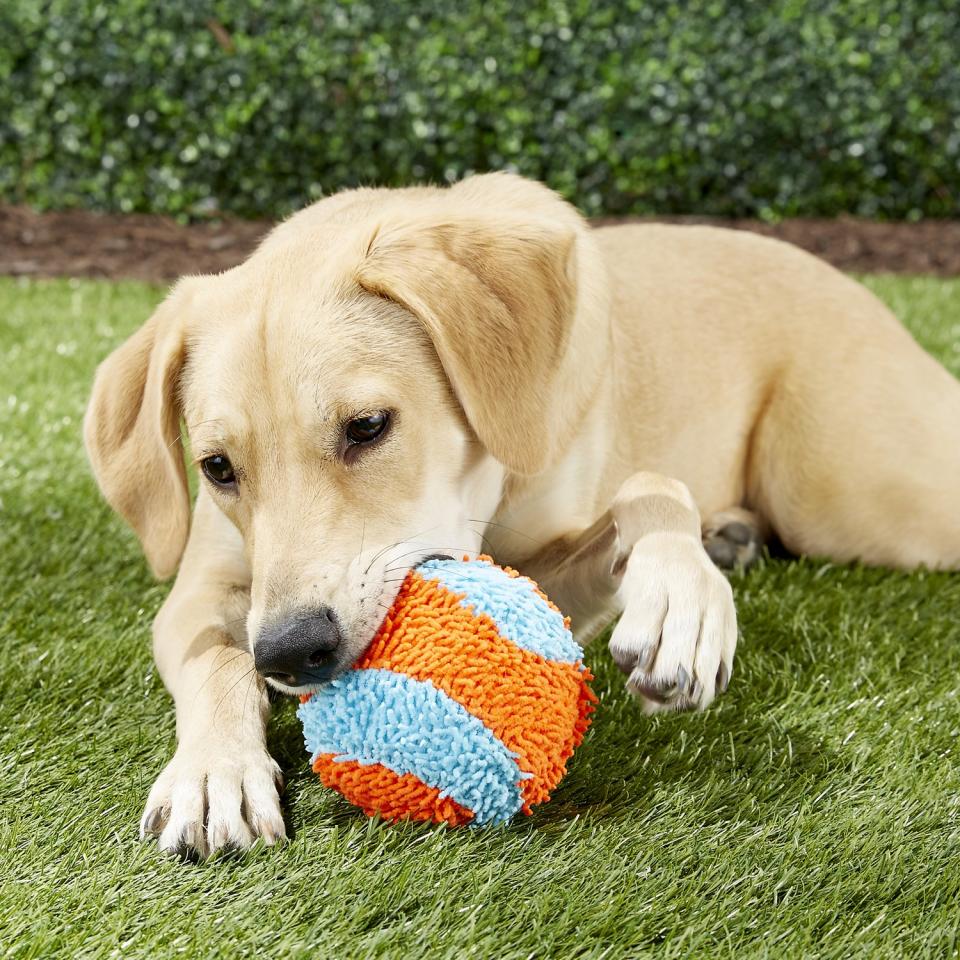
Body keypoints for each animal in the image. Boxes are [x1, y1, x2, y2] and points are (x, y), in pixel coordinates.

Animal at [84, 172, 960, 856]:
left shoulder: (555, 574)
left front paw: (681, 603)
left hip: (859, 498)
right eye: (217, 468)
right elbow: (216, 662)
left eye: (368, 426)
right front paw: (214, 772)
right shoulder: (203, 590)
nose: (293, 652)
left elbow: (652, 489)